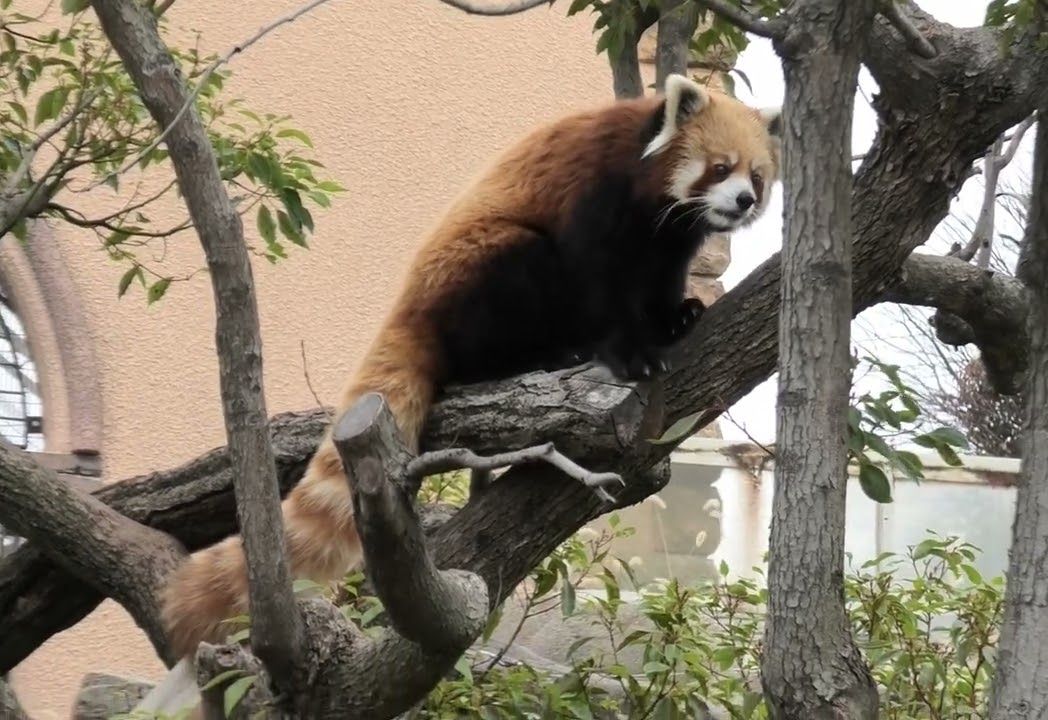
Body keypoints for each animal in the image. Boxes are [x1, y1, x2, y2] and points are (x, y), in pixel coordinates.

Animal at [155, 75, 779, 662]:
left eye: (757, 175)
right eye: (719, 167)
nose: (743, 201)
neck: (649, 190)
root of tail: (408, 308)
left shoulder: (669, 238)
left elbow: (661, 281)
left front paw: (676, 318)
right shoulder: (596, 197)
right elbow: (599, 280)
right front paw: (631, 351)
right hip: (479, 269)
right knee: (521, 271)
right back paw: (544, 357)